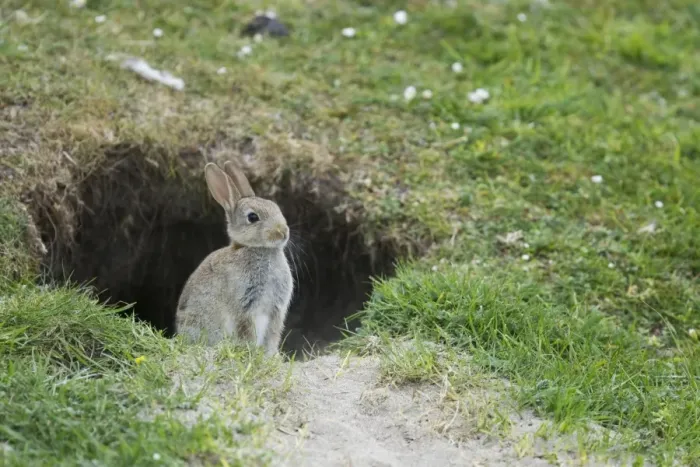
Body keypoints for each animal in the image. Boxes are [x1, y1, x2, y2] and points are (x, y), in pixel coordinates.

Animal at [174, 161, 294, 356]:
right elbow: (247, 333)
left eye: (275, 207)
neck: (258, 249)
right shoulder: (244, 308)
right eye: (252, 217)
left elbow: (272, 336)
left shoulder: (276, 311)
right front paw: (251, 353)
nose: (283, 232)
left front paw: (271, 356)